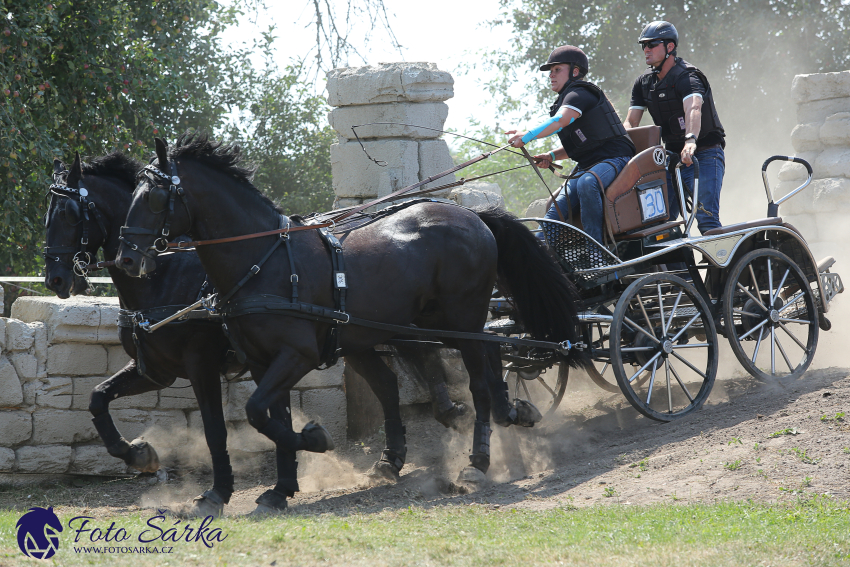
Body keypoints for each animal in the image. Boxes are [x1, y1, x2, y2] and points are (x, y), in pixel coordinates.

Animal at [117, 133, 584, 510]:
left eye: (153, 197)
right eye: (132, 194)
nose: (125, 259)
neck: (263, 261)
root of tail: (474, 216)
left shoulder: (297, 355)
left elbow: (254, 413)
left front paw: (314, 440)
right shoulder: (263, 361)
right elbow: (269, 418)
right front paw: (280, 488)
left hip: (462, 319)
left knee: (480, 382)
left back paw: (479, 460)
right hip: (433, 322)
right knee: (484, 359)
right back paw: (510, 416)